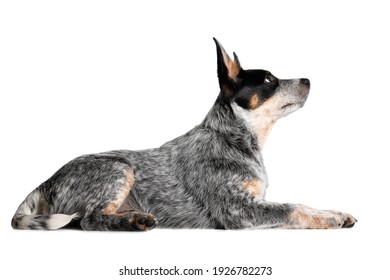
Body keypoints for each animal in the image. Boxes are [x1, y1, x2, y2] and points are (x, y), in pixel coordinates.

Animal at [11, 38, 356, 231]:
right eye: (270, 80)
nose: (308, 79)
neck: (233, 138)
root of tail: (47, 181)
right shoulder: (240, 209)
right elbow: (294, 207)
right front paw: (330, 220)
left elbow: (304, 203)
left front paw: (335, 212)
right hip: (117, 168)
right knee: (88, 220)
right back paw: (133, 223)